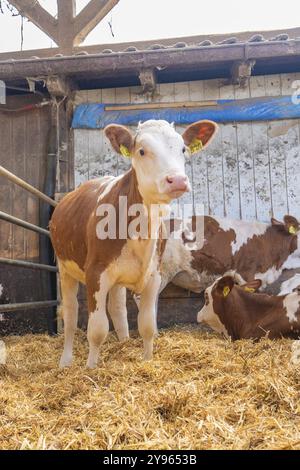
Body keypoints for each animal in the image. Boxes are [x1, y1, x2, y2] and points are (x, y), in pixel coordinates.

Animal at [50, 118, 217, 368]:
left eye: (183, 149)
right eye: (142, 151)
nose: (177, 180)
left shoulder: (154, 275)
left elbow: (147, 325)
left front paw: (147, 360)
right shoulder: (95, 273)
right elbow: (97, 329)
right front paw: (91, 368)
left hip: (117, 278)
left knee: (117, 308)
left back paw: (123, 342)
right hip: (65, 268)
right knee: (70, 314)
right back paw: (66, 361)